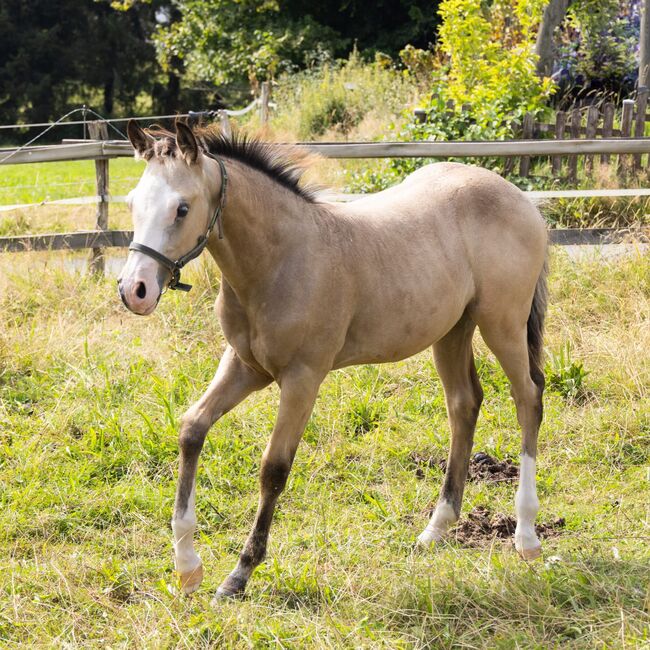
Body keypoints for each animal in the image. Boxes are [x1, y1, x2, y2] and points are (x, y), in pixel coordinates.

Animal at [117, 120, 548, 596]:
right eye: (133, 202)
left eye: (181, 208)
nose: (135, 290)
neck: (280, 258)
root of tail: (519, 198)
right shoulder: (245, 367)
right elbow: (192, 428)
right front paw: (187, 564)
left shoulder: (303, 377)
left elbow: (274, 468)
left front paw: (240, 573)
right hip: (452, 331)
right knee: (464, 404)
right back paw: (435, 529)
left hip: (503, 323)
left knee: (528, 398)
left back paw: (526, 535)